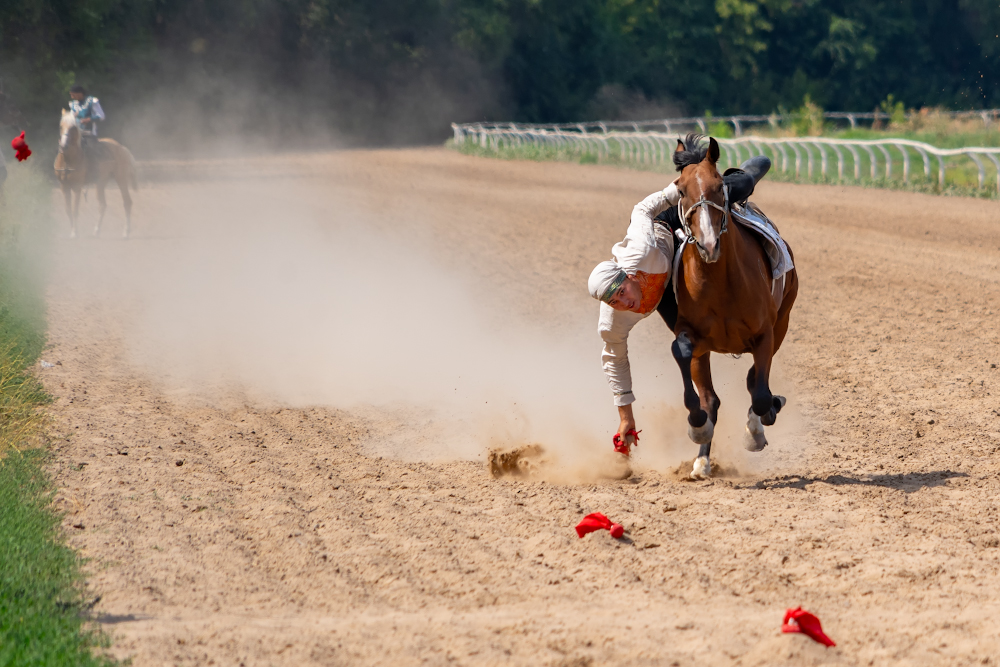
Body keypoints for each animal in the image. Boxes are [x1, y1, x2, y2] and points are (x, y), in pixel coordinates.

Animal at [54, 107, 137, 237]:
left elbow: (75, 209)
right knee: (102, 205)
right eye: (61, 126)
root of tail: (122, 148)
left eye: (73, 127)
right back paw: (97, 230)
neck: (68, 160)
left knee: (127, 202)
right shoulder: (64, 186)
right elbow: (68, 210)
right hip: (100, 182)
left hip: (121, 179)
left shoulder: (77, 186)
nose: (63, 146)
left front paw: (74, 232)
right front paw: (72, 231)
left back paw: (125, 232)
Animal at [668, 134, 800, 480]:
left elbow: (761, 394)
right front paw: (698, 428)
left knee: (756, 382)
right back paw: (702, 460)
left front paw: (757, 428)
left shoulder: (766, 333)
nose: (709, 244)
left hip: (783, 319)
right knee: (712, 397)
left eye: (718, 187)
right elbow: (682, 354)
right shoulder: (692, 334)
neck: (720, 281)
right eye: (681, 189)